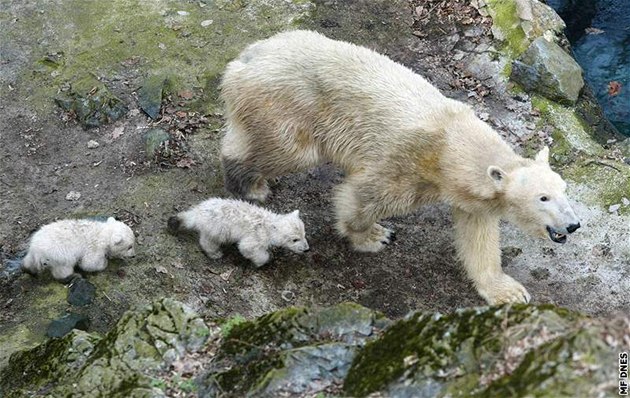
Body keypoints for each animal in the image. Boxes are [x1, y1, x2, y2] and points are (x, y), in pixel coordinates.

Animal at [221, 30, 584, 304]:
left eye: (563, 191)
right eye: (542, 198)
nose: (573, 225)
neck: (451, 143)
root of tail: (246, 57)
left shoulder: (472, 197)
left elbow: (478, 238)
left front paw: (507, 291)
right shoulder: (408, 162)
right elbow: (363, 196)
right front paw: (374, 236)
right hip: (289, 101)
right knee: (287, 150)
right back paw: (249, 183)